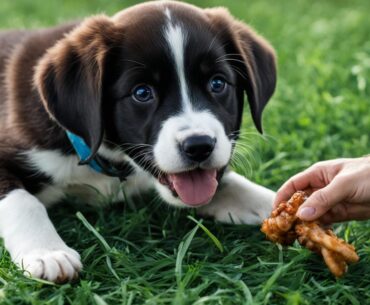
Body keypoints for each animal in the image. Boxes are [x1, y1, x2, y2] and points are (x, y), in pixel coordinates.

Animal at [0, 1, 276, 282]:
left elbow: (232, 183)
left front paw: (279, 204)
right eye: (142, 93)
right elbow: (22, 200)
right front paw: (47, 252)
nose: (199, 146)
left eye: (218, 83)